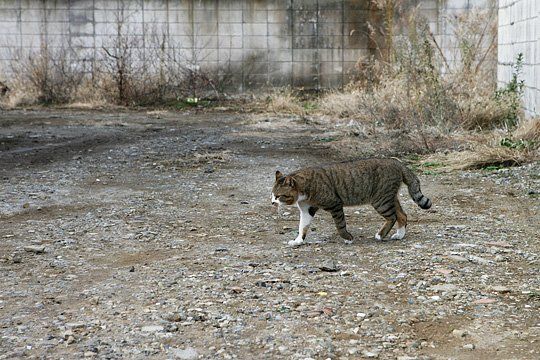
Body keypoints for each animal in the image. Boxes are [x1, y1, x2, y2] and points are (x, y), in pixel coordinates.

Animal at [272, 159, 432, 246]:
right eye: (272, 195)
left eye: (279, 196)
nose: (273, 202)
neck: (304, 188)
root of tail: (396, 162)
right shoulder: (307, 210)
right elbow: (302, 227)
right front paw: (298, 240)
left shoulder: (335, 204)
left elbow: (340, 225)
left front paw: (347, 238)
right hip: (389, 198)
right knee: (402, 215)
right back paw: (399, 235)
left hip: (380, 200)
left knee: (392, 217)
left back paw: (380, 235)